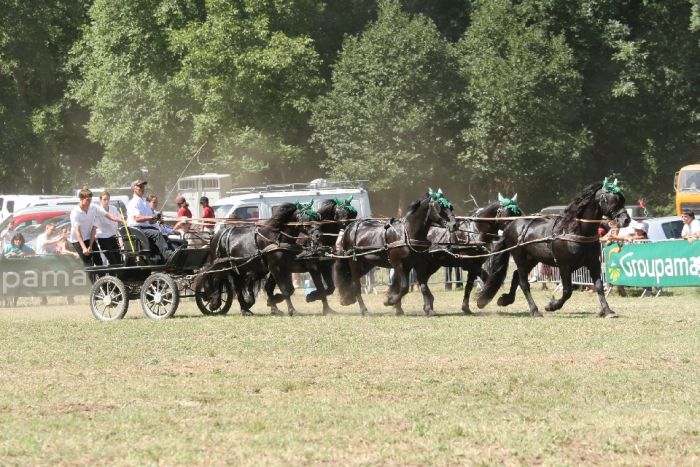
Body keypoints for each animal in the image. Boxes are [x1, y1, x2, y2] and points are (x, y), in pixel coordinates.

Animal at [476, 179, 628, 318]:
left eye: (622, 199)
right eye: (611, 200)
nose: (626, 220)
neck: (576, 231)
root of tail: (510, 225)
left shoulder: (594, 263)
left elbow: (599, 286)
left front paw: (607, 311)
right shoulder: (564, 266)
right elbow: (567, 291)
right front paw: (552, 306)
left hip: (532, 259)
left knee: (516, 276)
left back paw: (506, 299)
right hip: (519, 257)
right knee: (524, 283)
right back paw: (534, 310)